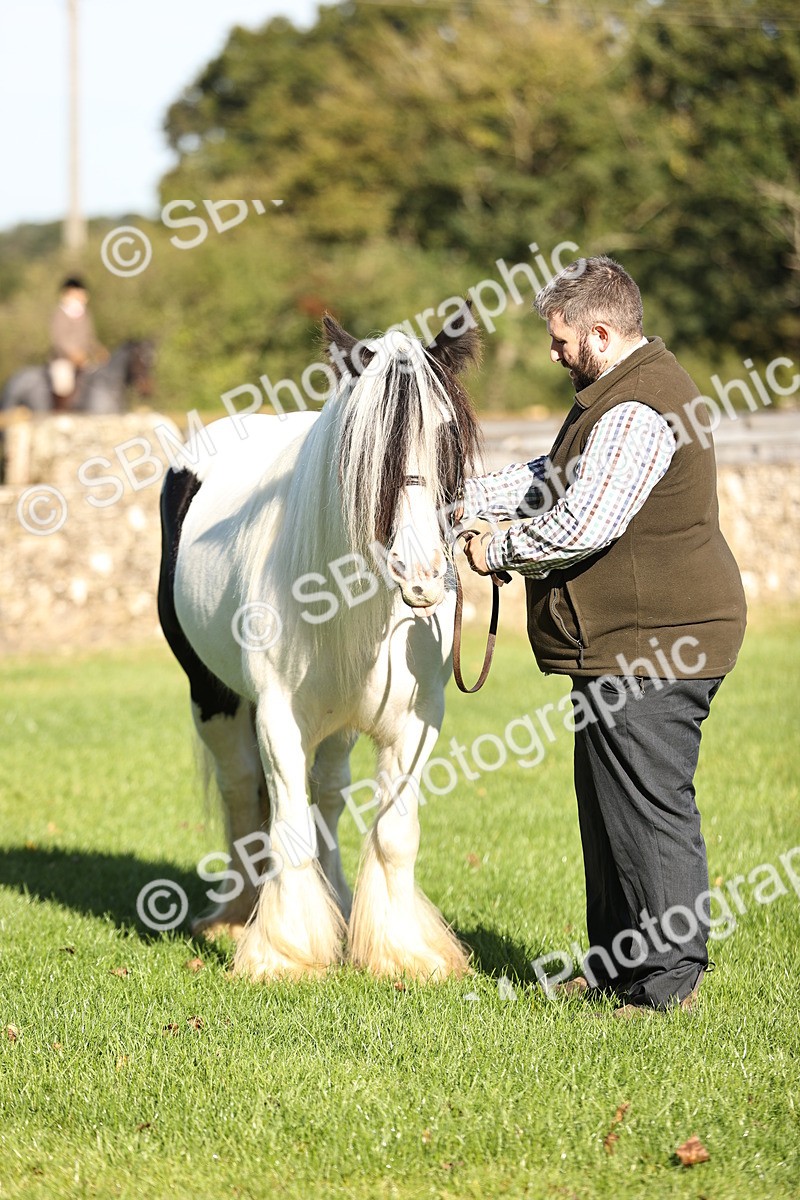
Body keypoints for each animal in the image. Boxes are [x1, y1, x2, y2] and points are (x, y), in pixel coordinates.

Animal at [157, 305, 482, 980]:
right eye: (365, 449)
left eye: (446, 433)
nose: (422, 575)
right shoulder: (278, 717)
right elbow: (286, 828)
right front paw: (286, 953)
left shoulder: (418, 721)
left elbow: (393, 832)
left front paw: (402, 953)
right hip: (213, 696)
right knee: (239, 792)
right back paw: (237, 915)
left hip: (340, 722)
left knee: (329, 795)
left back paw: (336, 901)